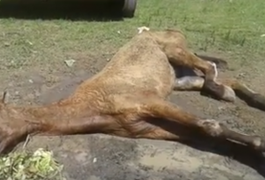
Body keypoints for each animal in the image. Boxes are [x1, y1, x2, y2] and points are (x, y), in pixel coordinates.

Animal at [0, 28, 264, 155]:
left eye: (1, 124)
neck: (94, 105)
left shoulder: (150, 101)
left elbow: (210, 126)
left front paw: (258, 145)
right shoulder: (146, 127)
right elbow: (207, 135)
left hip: (176, 51)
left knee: (210, 68)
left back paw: (226, 93)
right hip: (179, 77)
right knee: (220, 78)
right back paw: (246, 96)